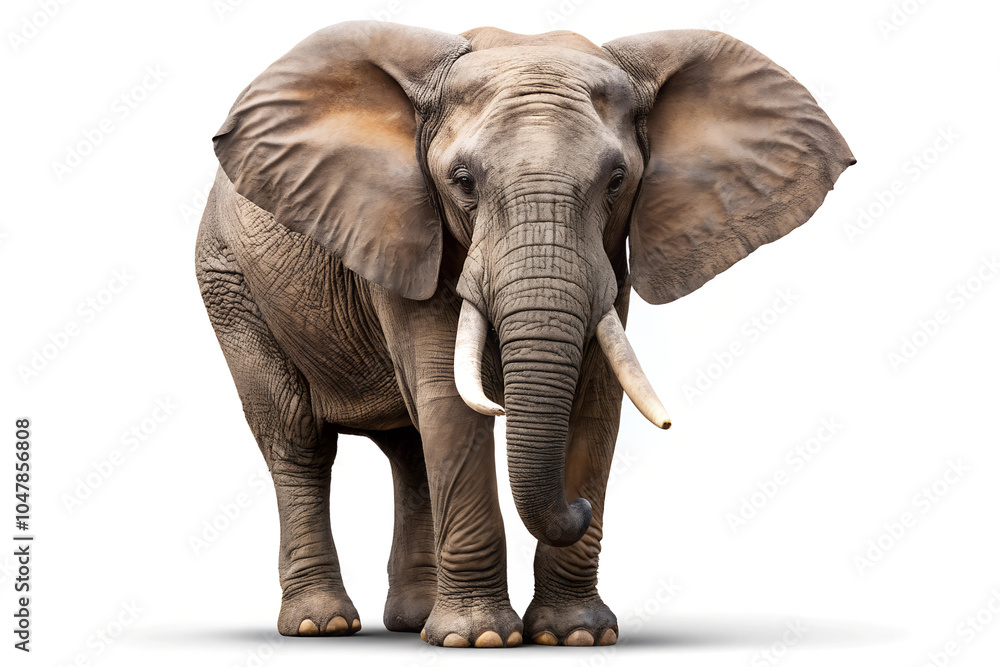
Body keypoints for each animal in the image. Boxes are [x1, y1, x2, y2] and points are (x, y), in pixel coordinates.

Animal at [195, 21, 853, 648]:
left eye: (618, 180)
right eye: (462, 181)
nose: (579, 507)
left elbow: (596, 403)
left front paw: (576, 634)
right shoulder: (409, 232)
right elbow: (449, 400)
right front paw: (481, 637)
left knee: (409, 452)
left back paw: (412, 622)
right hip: (228, 283)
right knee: (298, 439)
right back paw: (322, 625)